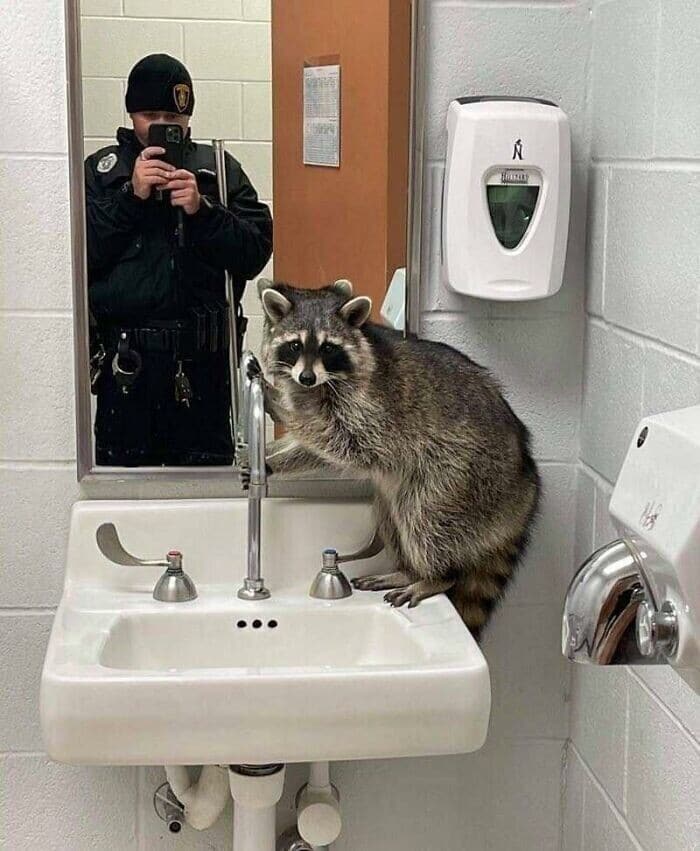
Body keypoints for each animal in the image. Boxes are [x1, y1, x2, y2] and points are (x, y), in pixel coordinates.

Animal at [255, 278, 541, 640]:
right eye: (294, 345)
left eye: (328, 348)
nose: (306, 377)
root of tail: (526, 474)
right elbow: (314, 449)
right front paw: (268, 453)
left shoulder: (370, 410)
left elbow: (340, 445)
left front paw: (278, 410)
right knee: (392, 515)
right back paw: (407, 569)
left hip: (466, 475)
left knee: (424, 518)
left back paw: (435, 575)